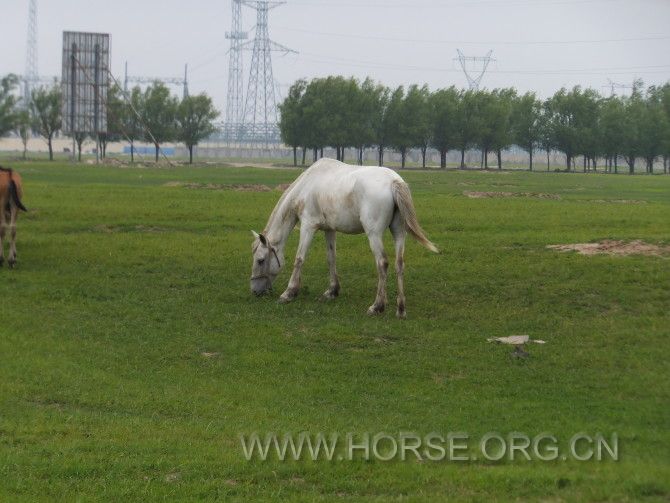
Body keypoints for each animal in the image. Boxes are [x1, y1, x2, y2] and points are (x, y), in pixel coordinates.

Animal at [249, 158, 438, 316]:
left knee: (382, 263)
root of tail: (394, 181)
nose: (254, 291)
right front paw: (332, 291)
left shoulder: (308, 226)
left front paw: (289, 293)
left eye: (260, 260)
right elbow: (331, 258)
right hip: (398, 232)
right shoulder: (329, 229)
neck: (308, 185)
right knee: (399, 264)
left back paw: (377, 306)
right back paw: (400, 309)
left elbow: (299, 258)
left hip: (374, 234)